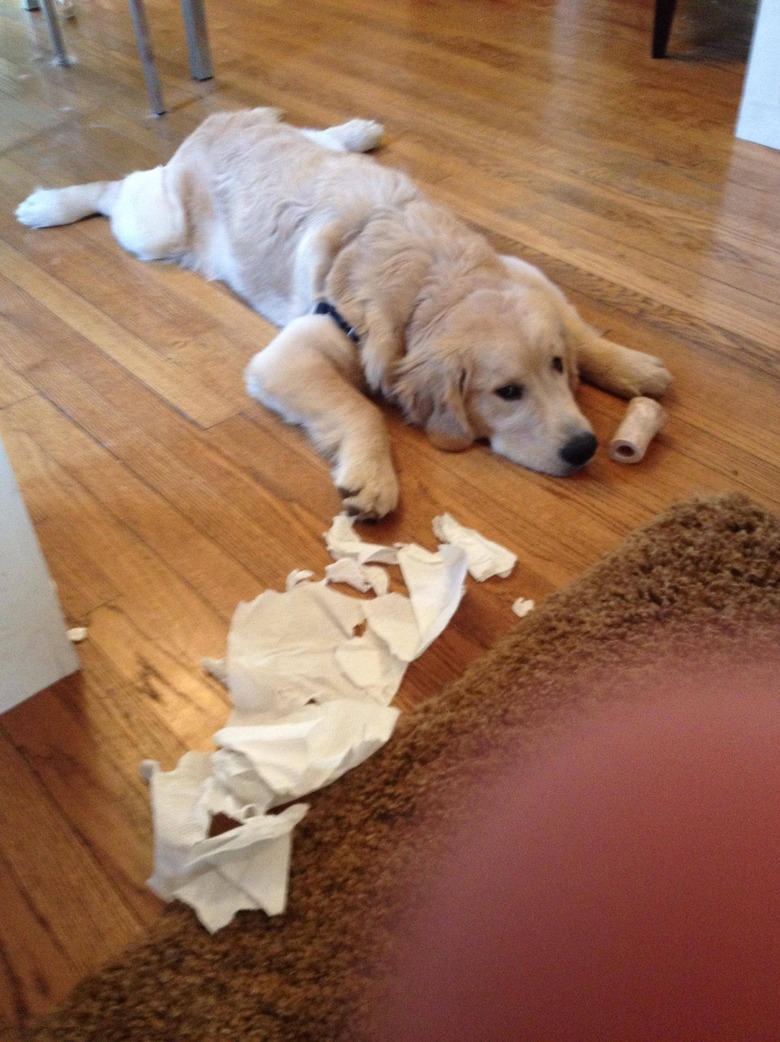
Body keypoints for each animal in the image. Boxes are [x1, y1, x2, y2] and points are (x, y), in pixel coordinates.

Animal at [16, 107, 670, 521]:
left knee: (312, 132)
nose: (585, 448)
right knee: (113, 187)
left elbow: (578, 324)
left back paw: (358, 129)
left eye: (556, 367)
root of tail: (215, 122)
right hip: (154, 228)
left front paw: (633, 366)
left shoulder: (520, 269)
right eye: (506, 392)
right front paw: (373, 479)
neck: (426, 286)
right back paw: (48, 205)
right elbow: (362, 410)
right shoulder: (291, 352)